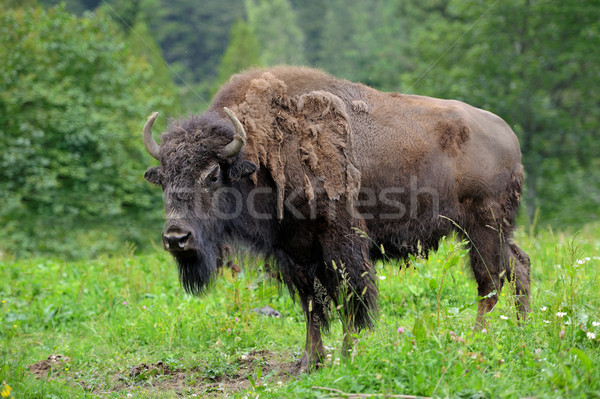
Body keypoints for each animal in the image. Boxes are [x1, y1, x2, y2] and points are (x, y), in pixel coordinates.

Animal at [143, 66, 532, 372]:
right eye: (162, 178)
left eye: (212, 175)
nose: (176, 238)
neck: (263, 153)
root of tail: (509, 136)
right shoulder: (296, 252)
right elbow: (311, 305)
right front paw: (309, 362)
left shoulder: (339, 244)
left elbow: (350, 298)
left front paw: (347, 354)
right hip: (492, 231)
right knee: (518, 265)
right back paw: (522, 330)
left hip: (482, 227)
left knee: (489, 281)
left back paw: (473, 341)